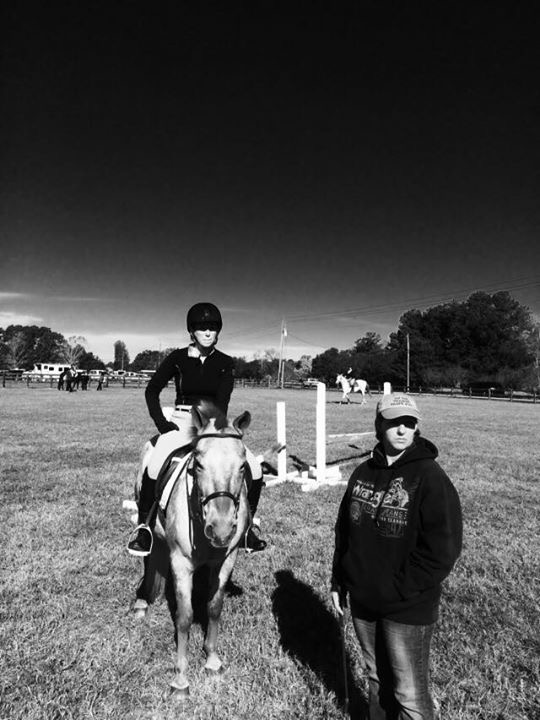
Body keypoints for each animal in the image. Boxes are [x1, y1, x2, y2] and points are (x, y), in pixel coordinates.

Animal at [132, 402, 251, 698]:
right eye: (198, 464)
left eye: (243, 466)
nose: (221, 529)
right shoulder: (181, 562)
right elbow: (184, 617)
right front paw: (180, 679)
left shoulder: (225, 560)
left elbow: (214, 607)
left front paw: (212, 661)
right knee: (147, 558)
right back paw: (142, 602)